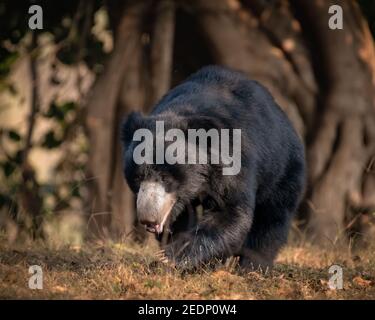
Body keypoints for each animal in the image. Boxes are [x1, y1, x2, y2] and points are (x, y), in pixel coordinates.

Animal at [122, 65, 306, 270]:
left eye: (165, 178)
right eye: (137, 178)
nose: (149, 219)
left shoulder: (233, 161)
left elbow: (228, 211)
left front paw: (171, 256)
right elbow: (180, 218)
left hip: (283, 170)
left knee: (272, 218)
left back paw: (253, 266)